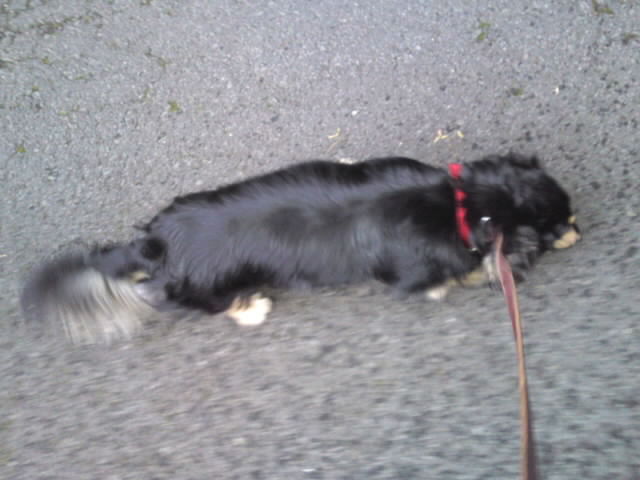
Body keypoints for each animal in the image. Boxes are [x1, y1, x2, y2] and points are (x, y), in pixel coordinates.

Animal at [21, 153, 580, 344]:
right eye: (560, 227)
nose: (582, 229)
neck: (465, 204)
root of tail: (155, 244)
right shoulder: (417, 272)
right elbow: (449, 277)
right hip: (212, 290)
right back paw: (251, 309)